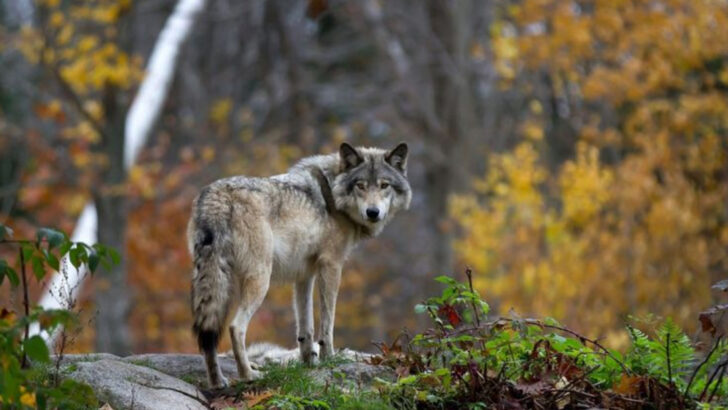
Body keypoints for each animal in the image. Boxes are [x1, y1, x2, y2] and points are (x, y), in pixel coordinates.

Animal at [188, 142, 411, 388]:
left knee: (208, 335)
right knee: (235, 327)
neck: (333, 194)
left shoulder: (305, 275)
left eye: (384, 185)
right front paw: (328, 359)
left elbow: (306, 327)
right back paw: (249, 375)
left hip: (213, 282)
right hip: (260, 280)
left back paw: (217, 381)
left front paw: (308, 363)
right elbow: (327, 323)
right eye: (360, 186)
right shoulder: (331, 266)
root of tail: (216, 195)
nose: (373, 212)